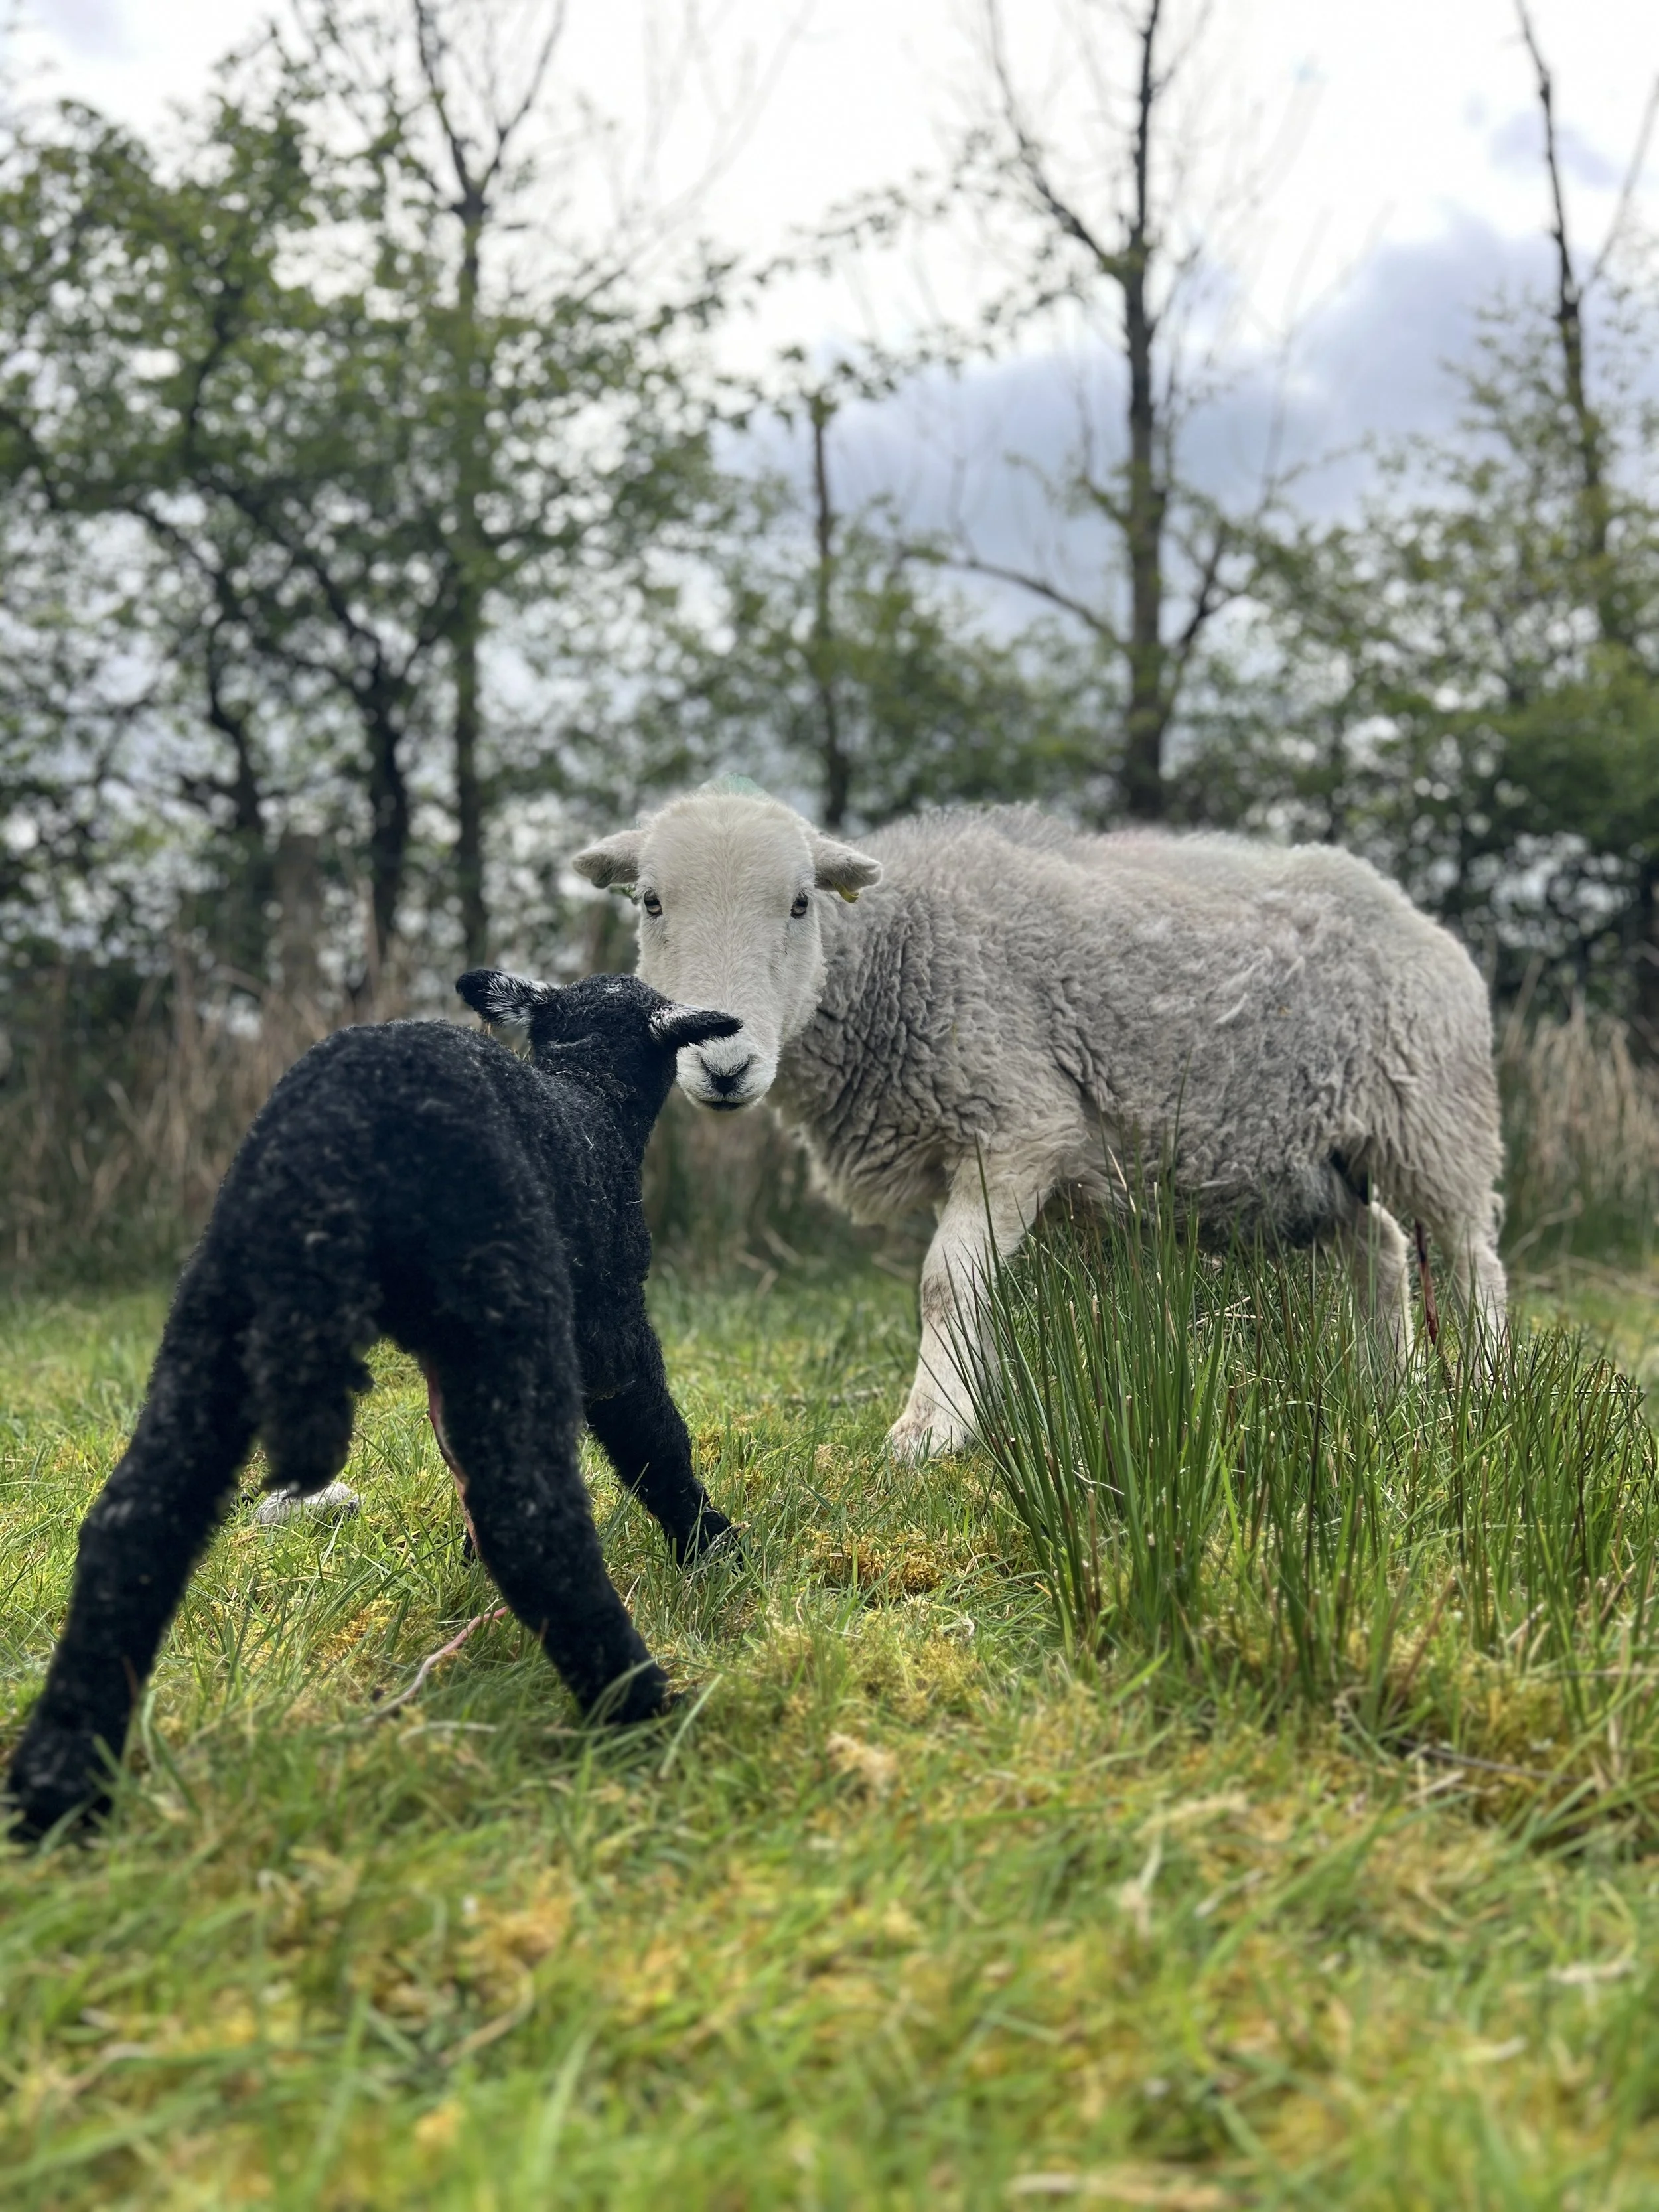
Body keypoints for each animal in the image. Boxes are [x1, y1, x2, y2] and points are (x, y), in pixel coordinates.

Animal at [6, 969, 741, 1839]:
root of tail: (334, 1143)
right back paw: (647, 1712)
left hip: (214, 1316)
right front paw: (711, 1548)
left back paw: (57, 1785)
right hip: (503, 1297)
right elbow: (655, 1439)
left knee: (134, 1523)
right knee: (531, 1518)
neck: (589, 1094)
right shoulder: (611, 1331)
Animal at [572, 791, 1508, 1461]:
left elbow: (943, 1282)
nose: (723, 1063)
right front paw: (968, 1404)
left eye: (801, 905)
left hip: (1435, 1118)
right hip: (1309, 1164)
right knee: (1379, 1246)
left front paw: (929, 1428)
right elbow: (976, 1285)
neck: (896, 957)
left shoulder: (1021, 1124)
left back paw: (1486, 1389)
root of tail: (1408, 908)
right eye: (650, 902)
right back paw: (1386, 1390)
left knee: (1472, 1261)